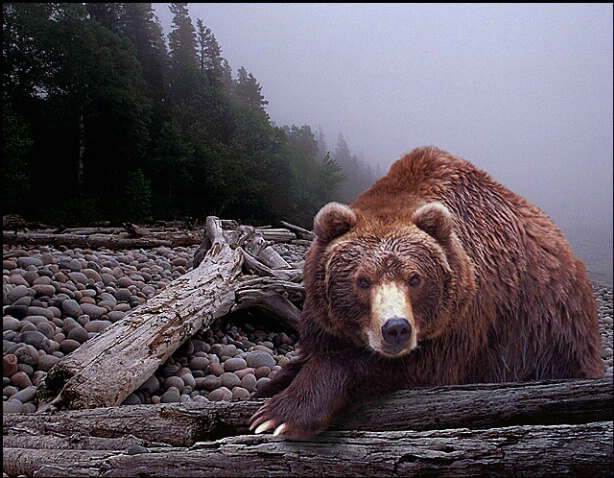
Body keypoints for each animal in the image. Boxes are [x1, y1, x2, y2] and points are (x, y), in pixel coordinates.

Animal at [250, 147, 608, 440]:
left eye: (415, 278)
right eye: (362, 280)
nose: (396, 329)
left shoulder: (464, 322)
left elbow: (409, 366)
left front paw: (279, 414)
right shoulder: (326, 319)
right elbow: (313, 350)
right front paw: (269, 387)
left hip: (551, 332)